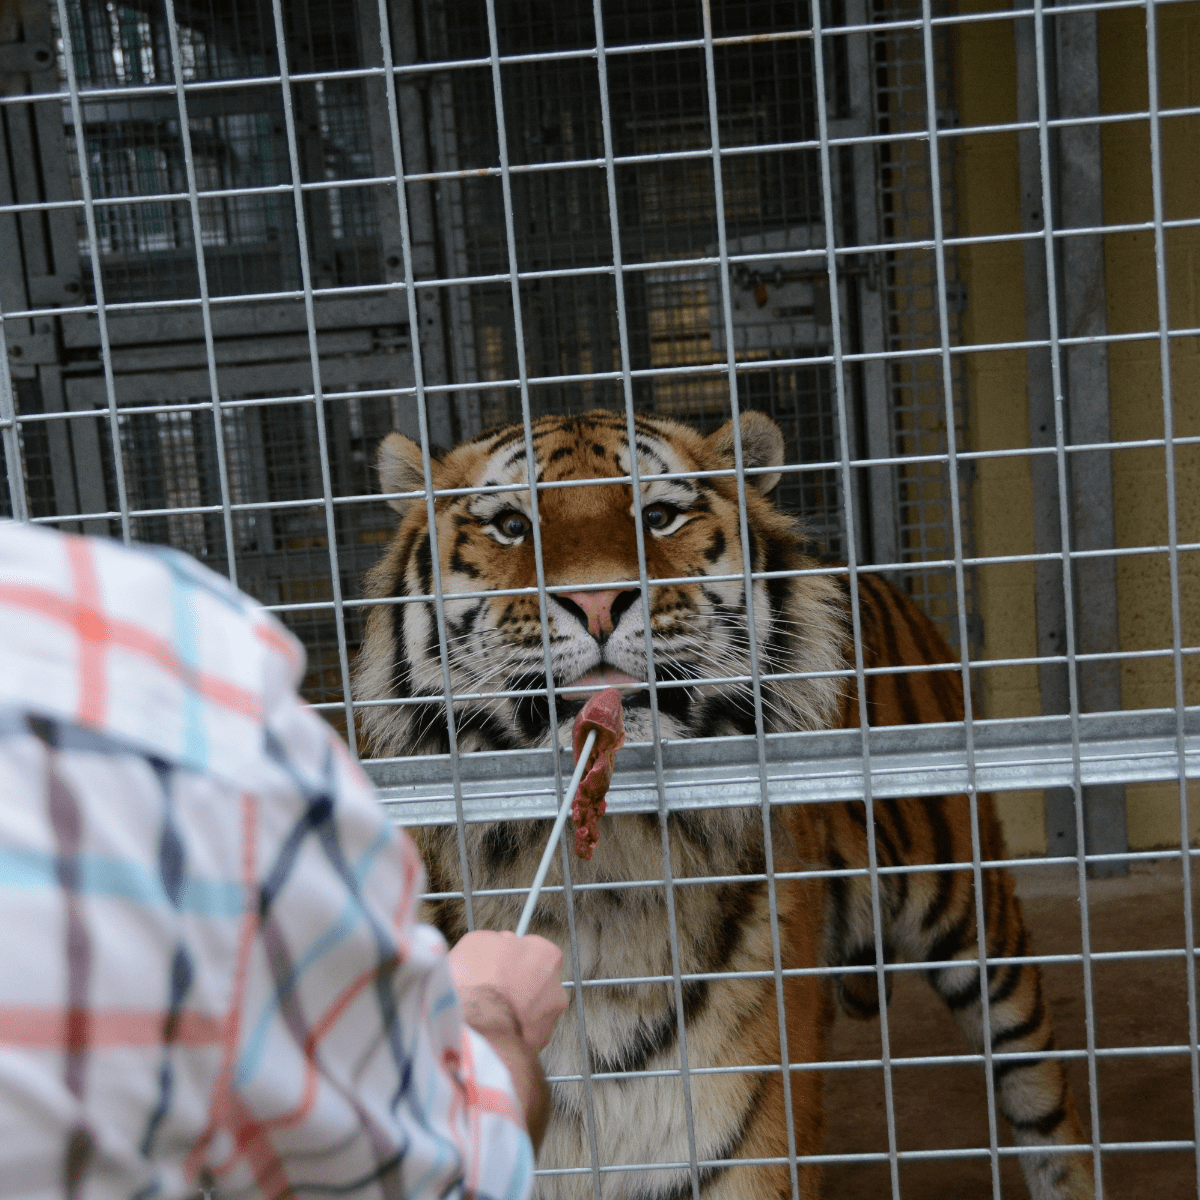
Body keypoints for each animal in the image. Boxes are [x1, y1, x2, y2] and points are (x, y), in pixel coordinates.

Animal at [353, 409, 1094, 1200]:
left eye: (659, 516)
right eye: (512, 527)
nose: (597, 602)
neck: (603, 884)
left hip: (976, 920)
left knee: (1046, 1104)